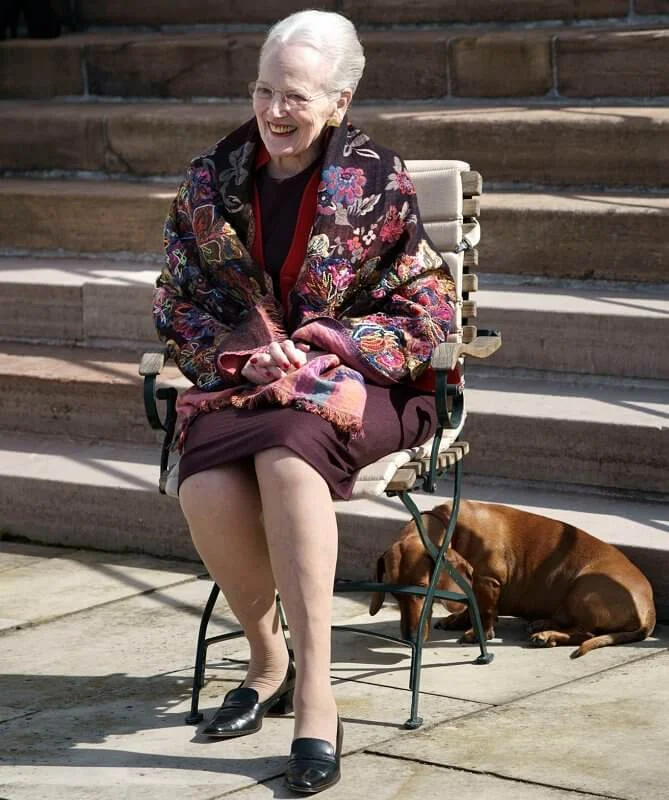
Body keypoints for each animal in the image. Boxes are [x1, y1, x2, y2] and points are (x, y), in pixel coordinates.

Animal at [368, 500, 656, 656]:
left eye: (422, 590)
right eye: (393, 594)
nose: (409, 637)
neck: (450, 526)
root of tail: (648, 610)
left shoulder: (487, 581)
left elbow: (484, 611)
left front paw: (477, 633)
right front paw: (458, 619)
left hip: (582, 588)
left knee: (584, 632)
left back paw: (548, 634)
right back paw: (543, 623)